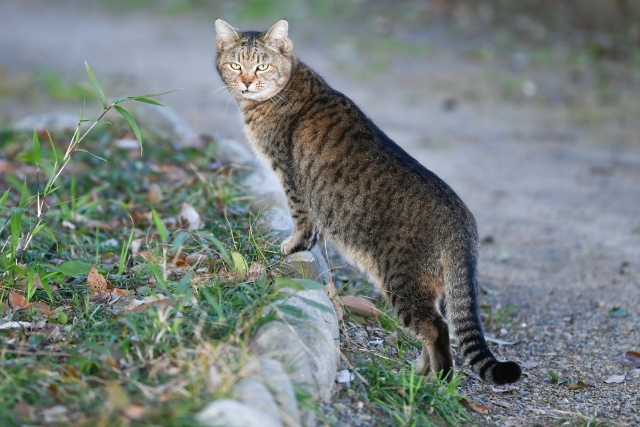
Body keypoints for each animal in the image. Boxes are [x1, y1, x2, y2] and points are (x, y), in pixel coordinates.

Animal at [214, 18, 520, 386]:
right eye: (236, 65)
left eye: (261, 66)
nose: (246, 82)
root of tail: (461, 217)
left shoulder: (291, 177)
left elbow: (301, 219)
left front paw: (293, 246)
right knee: (437, 327)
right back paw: (418, 374)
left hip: (403, 281)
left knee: (437, 329)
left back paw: (436, 382)